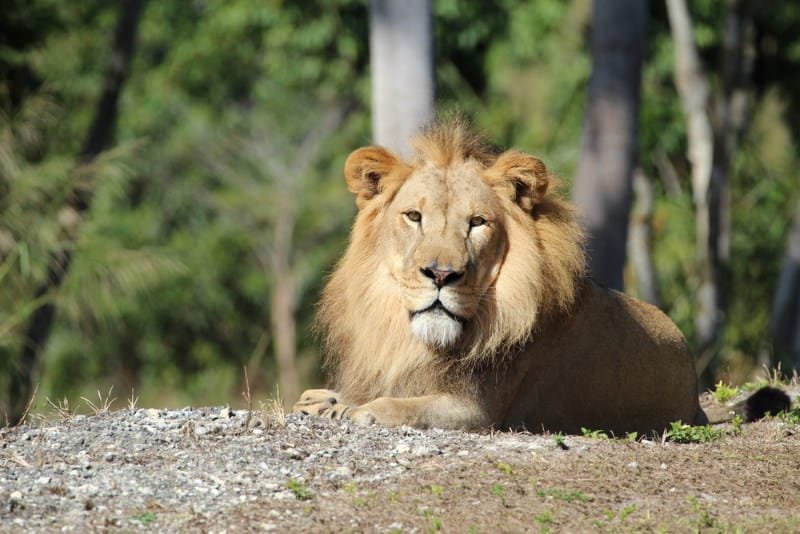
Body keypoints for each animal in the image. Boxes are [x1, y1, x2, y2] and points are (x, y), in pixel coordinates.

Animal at [292, 120, 770, 434]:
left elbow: (402, 406)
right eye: (413, 216)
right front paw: (321, 401)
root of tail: (695, 401)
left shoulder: (477, 412)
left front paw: (354, 410)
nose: (441, 274)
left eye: (477, 223)